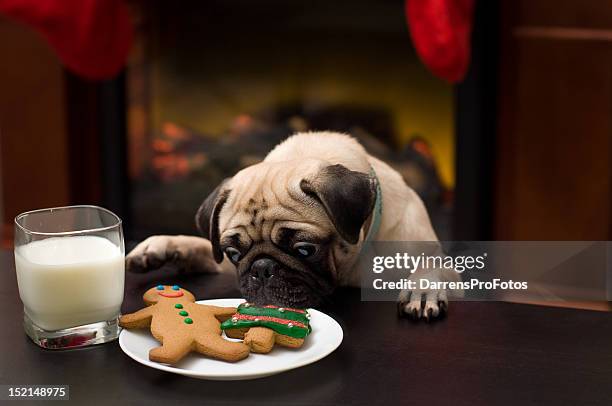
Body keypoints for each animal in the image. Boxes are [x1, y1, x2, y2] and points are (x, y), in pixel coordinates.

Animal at [125, 132, 460, 318]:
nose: (261, 269)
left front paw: (422, 290)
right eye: (233, 255)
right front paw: (163, 246)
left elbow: (429, 264)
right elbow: (201, 246)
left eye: (304, 249)